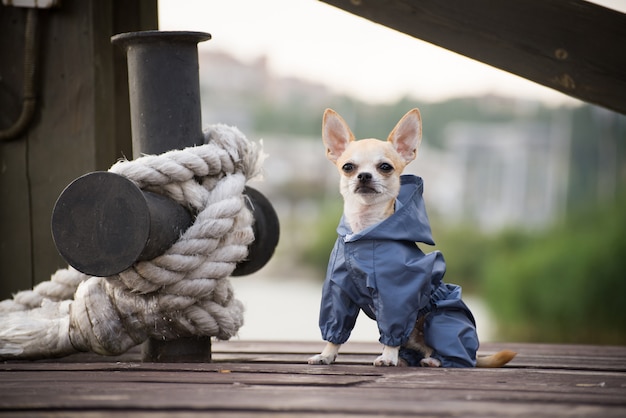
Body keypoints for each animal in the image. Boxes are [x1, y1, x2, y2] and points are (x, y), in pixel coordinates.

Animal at [304, 109, 516, 368]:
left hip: (440, 319)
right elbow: (336, 330)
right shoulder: (338, 292)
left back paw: (435, 360)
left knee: (454, 354)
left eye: (385, 166)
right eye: (348, 167)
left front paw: (387, 356)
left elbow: (392, 331)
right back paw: (408, 359)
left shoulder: (396, 296)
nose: (364, 175)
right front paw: (327, 354)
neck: (364, 232)